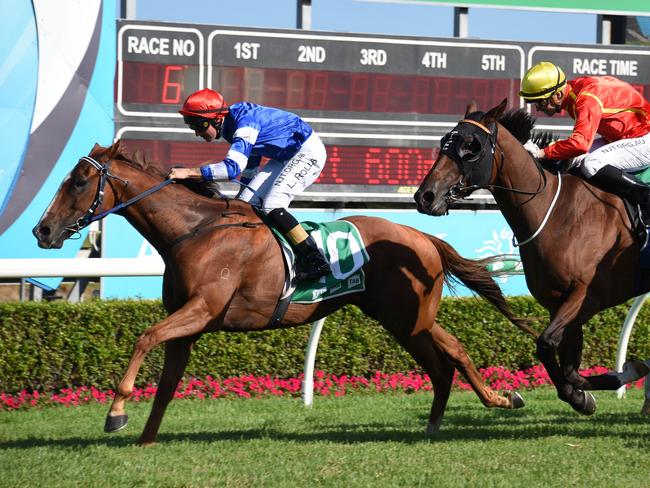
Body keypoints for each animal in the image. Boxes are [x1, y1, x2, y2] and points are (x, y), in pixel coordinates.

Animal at [31, 142, 532, 446]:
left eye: (78, 181)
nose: (43, 230)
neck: (195, 230)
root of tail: (421, 236)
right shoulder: (188, 325)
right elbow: (167, 383)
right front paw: (145, 440)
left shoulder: (201, 310)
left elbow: (144, 337)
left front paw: (115, 413)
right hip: (401, 318)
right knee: (446, 357)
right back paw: (467, 411)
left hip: (408, 316)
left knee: (450, 354)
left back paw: (490, 403)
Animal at [416, 98, 648, 416]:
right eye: (444, 142)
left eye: (470, 146)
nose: (425, 196)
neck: (557, 211)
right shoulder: (558, 303)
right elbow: (568, 367)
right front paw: (586, 395)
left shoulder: (586, 295)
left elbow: (545, 343)